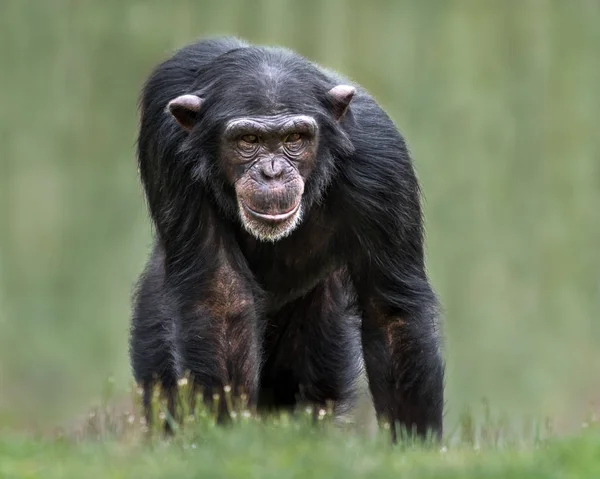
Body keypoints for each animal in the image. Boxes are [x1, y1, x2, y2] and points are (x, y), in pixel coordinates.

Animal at [129, 36, 442, 442]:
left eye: (295, 138)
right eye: (248, 140)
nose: (273, 172)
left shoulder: (382, 162)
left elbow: (390, 309)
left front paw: (413, 443)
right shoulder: (165, 139)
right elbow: (220, 295)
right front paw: (226, 438)